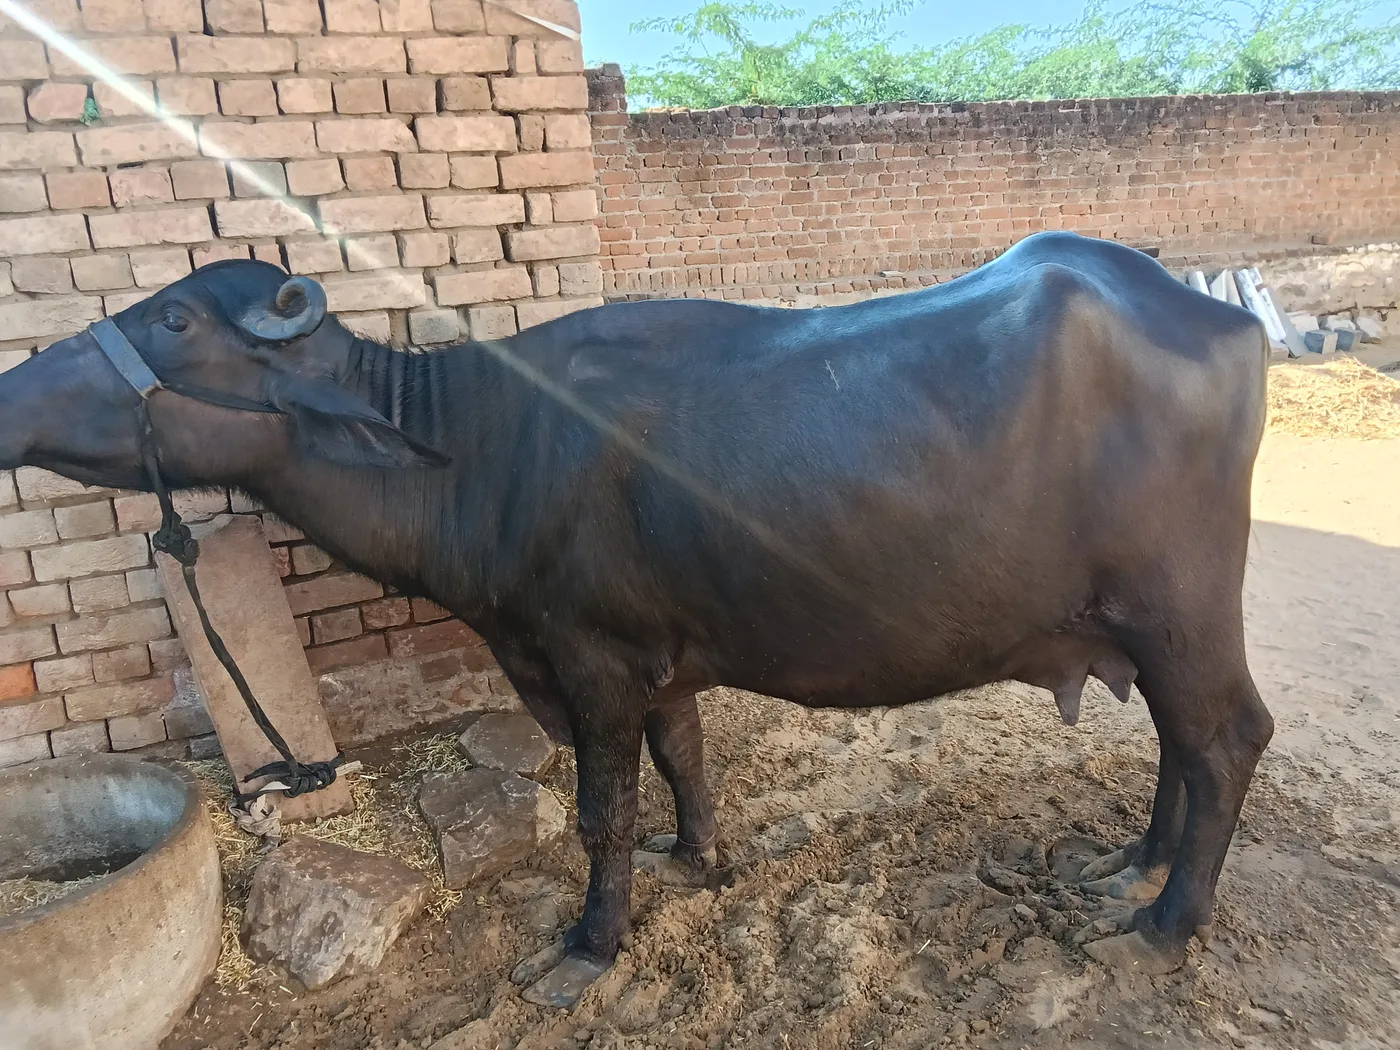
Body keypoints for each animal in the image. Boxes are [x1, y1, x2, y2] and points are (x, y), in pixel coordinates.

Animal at [0, 231, 1273, 1005]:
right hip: (1145, 625)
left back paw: (1168, 919)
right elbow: (683, 757)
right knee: (1178, 742)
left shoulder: (588, 659)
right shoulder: (661, 661)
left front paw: (588, 943)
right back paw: (1126, 868)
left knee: (1224, 740)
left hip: (1181, 609)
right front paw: (698, 854)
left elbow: (600, 809)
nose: (11, 391)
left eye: (174, 322)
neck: (477, 444)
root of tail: (1223, 320)